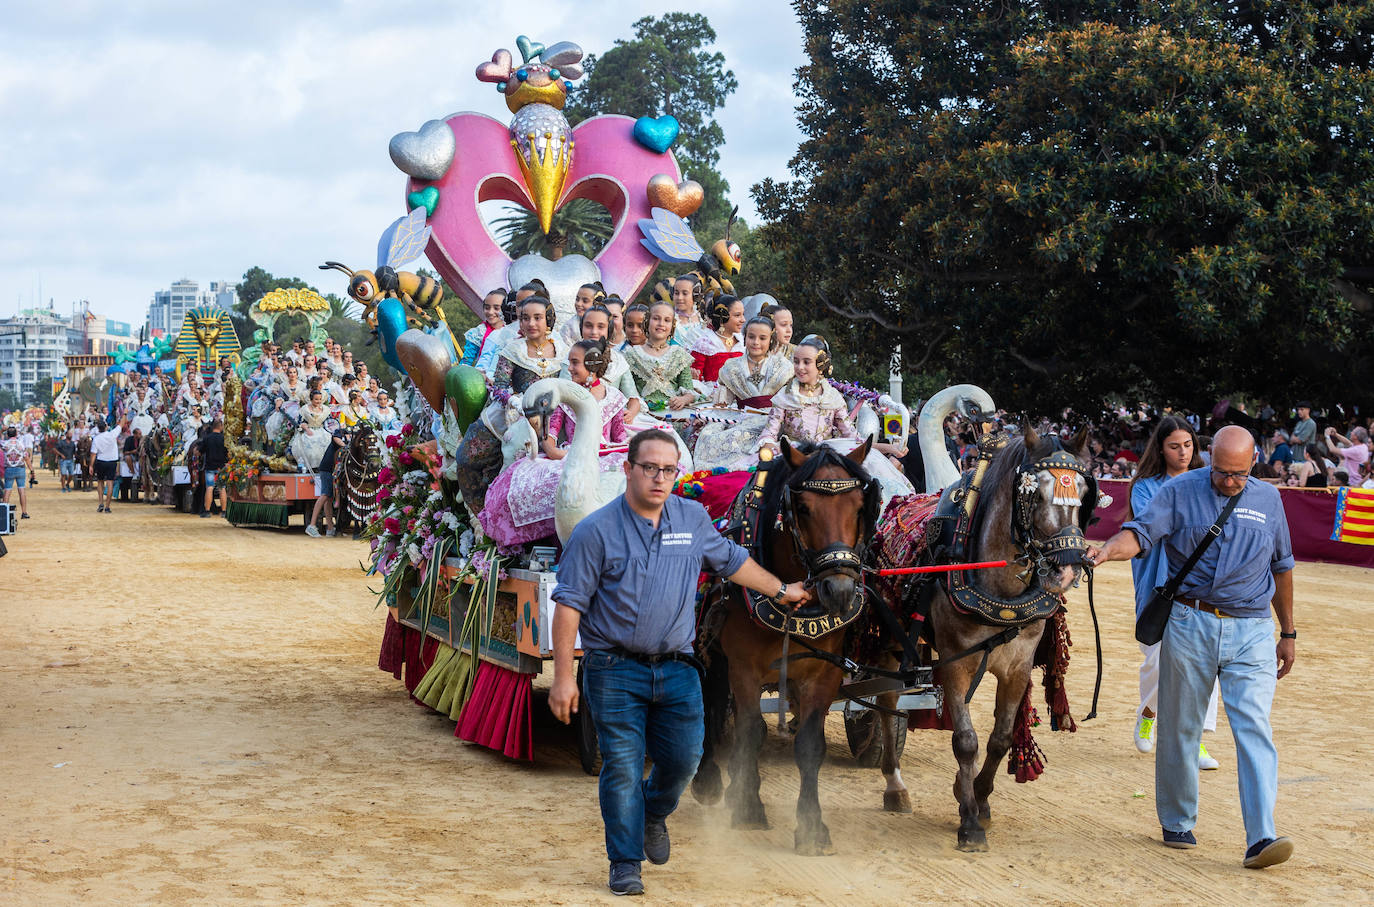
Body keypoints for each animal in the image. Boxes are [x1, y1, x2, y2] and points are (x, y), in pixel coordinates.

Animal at [697, 437, 879, 852]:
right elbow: (751, 732)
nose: (840, 590)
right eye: (803, 508)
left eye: (860, 507)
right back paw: (708, 779)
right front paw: (749, 808)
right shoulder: (744, 668)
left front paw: (812, 827)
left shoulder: (824, 672)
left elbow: (810, 745)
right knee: (707, 704)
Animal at [879, 426, 1093, 852]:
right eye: (1034, 495)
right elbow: (965, 740)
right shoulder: (956, 665)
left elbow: (1000, 739)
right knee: (886, 702)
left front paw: (977, 798)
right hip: (890, 641)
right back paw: (894, 784)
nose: (1067, 568)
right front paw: (969, 821)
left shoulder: (1017, 667)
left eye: (1081, 491)